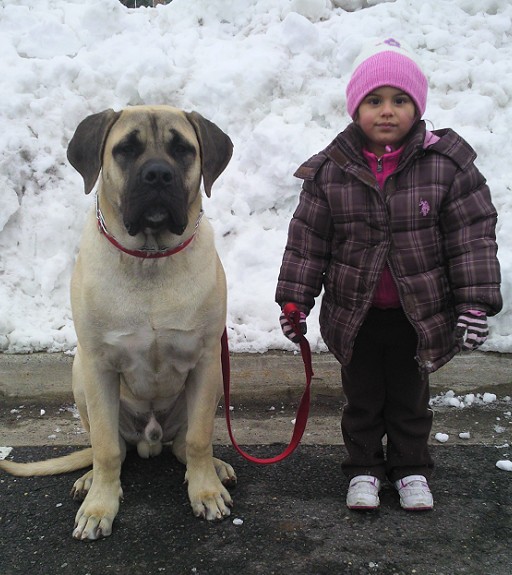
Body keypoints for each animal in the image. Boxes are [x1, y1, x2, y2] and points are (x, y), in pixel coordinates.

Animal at [0, 106, 236, 544]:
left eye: (182, 149)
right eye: (126, 149)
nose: (158, 175)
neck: (150, 258)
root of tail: (150, 440)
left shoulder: (206, 360)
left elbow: (198, 439)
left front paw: (206, 491)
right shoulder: (98, 366)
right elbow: (107, 448)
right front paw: (100, 507)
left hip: (210, 386)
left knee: (185, 442)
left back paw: (216, 467)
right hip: (79, 376)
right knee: (107, 447)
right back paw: (89, 480)